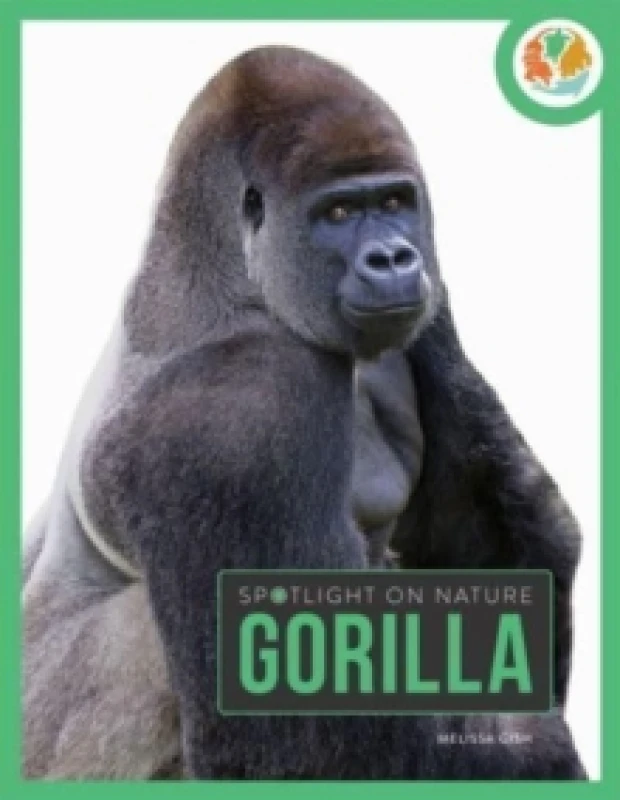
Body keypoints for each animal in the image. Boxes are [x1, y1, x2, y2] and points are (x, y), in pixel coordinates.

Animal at [23, 45, 585, 779]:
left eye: (395, 202)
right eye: (338, 214)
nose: (393, 257)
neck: (229, 275)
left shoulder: (430, 305)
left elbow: (495, 552)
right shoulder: (242, 414)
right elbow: (305, 739)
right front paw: (537, 749)